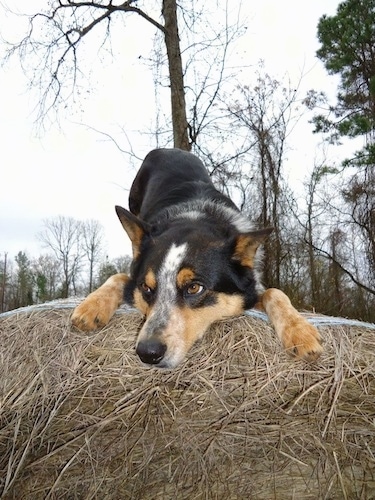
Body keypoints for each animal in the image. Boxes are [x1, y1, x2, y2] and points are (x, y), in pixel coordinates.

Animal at [72, 147, 324, 368]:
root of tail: (169, 149)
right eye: (146, 288)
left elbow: (275, 292)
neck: (195, 217)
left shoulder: (250, 289)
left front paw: (300, 332)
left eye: (194, 288)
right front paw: (91, 307)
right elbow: (118, 276)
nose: (147, 353)